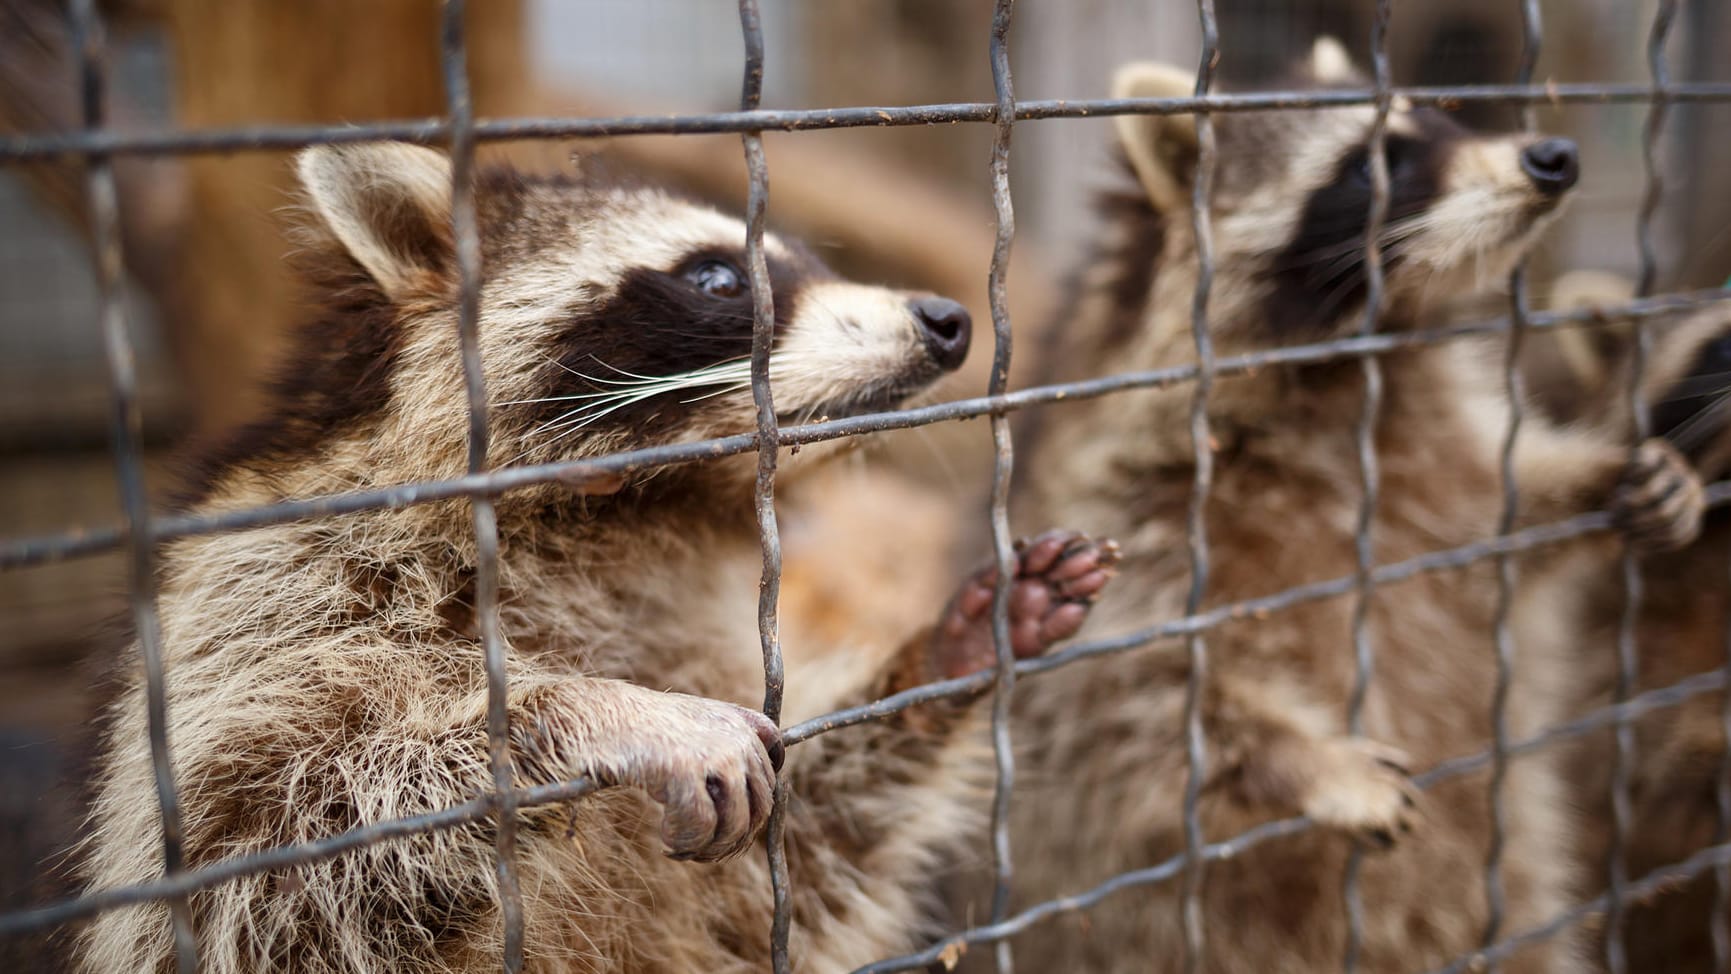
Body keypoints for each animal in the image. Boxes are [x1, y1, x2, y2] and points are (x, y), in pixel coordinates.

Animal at [70, 144, 1121, 974]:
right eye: (718, 278)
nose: (946, 320)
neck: (634, 513)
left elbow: (791, 867)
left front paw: (951, 652)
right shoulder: (260, 607)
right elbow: (260, 861)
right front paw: (594, 709)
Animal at [997, 38, 1710, 974]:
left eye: (1440, 118)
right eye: (1372, 163)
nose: (1551, 157)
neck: (1339, 374)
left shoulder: (1434, 470)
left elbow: (1511, 513)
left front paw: (1605, 477)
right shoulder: (1128, 505)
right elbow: (1128, 698)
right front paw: (1301, 760)